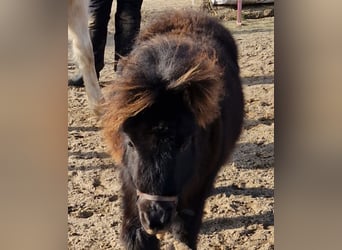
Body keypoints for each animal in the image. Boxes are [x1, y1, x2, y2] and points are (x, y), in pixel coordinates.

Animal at [101, 9, 243, 250]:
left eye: (185, 143)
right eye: (130, 143)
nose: (155, 219)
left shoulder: (199, 186)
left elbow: (185, 231)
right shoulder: (129, 184)